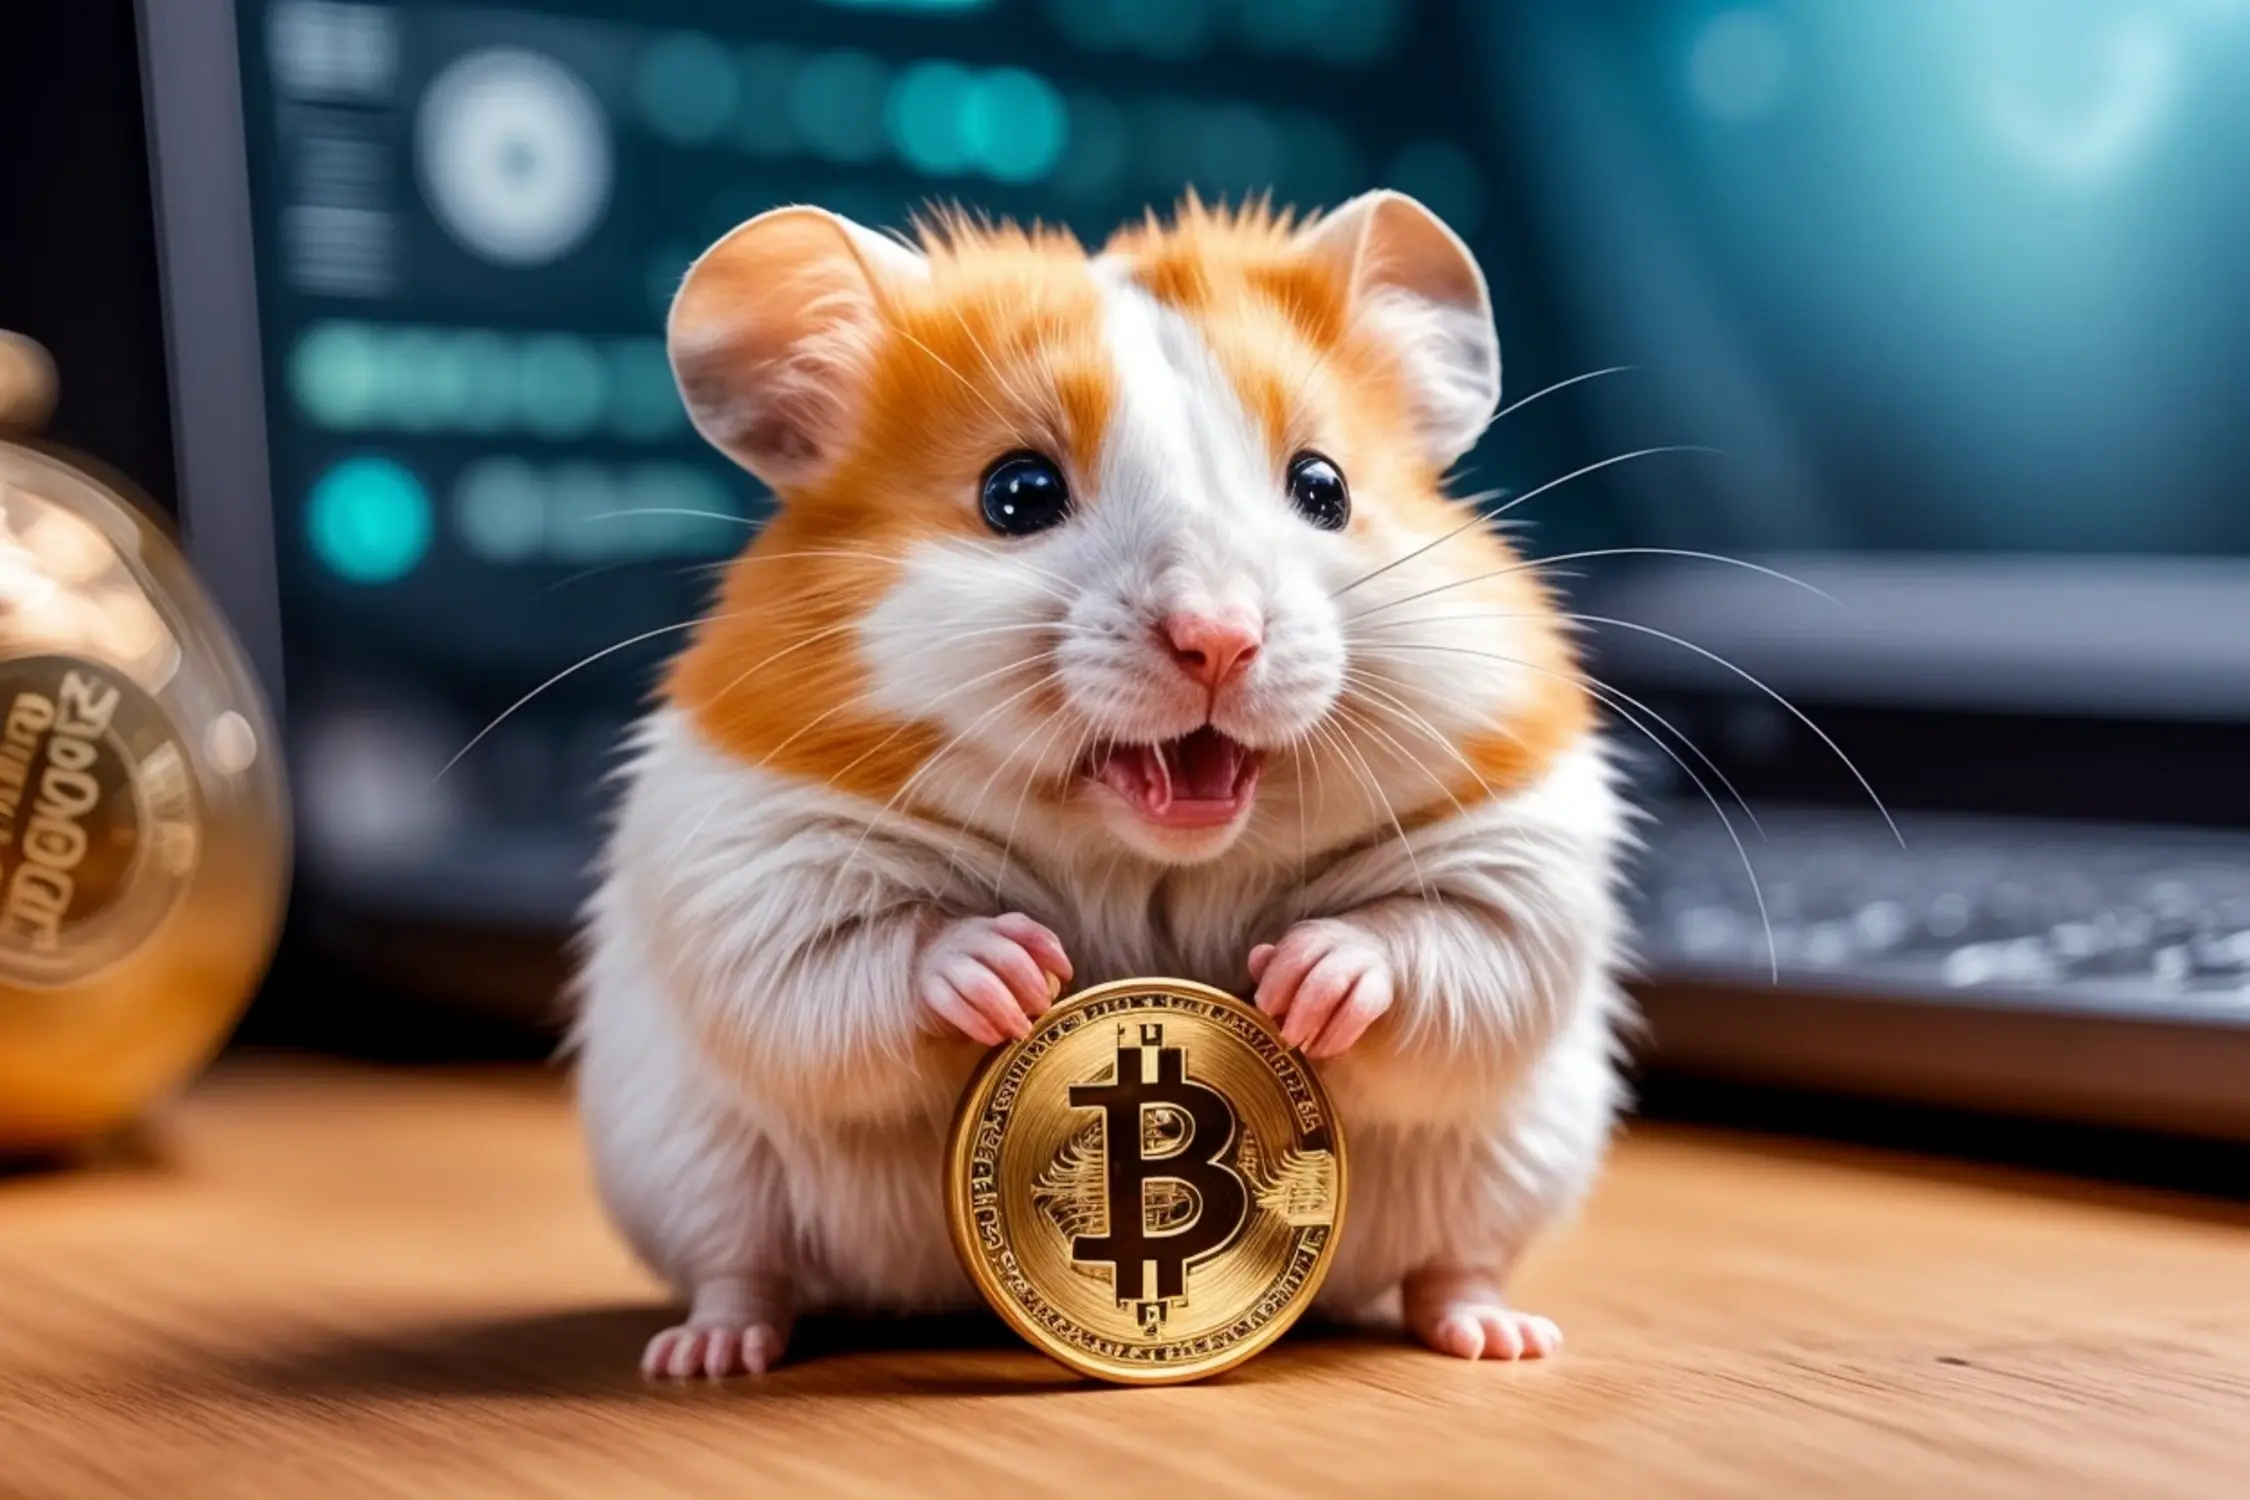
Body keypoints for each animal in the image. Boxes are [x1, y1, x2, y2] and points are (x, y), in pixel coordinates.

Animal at [573, 192, 1628, 1379]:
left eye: (1325, 487)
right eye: (1016, 494)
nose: (1220, 641)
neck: (1147, 857)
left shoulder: (1516, 849)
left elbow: (1446, 941)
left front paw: (1301, 982)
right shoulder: (754, 864)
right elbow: (852, 964)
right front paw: (1018, 971)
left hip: (1507, 1175)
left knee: (1455, 1264)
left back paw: (1502, 1339)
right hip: (699, 1179)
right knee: (742, 1271)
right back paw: (706, 1355)